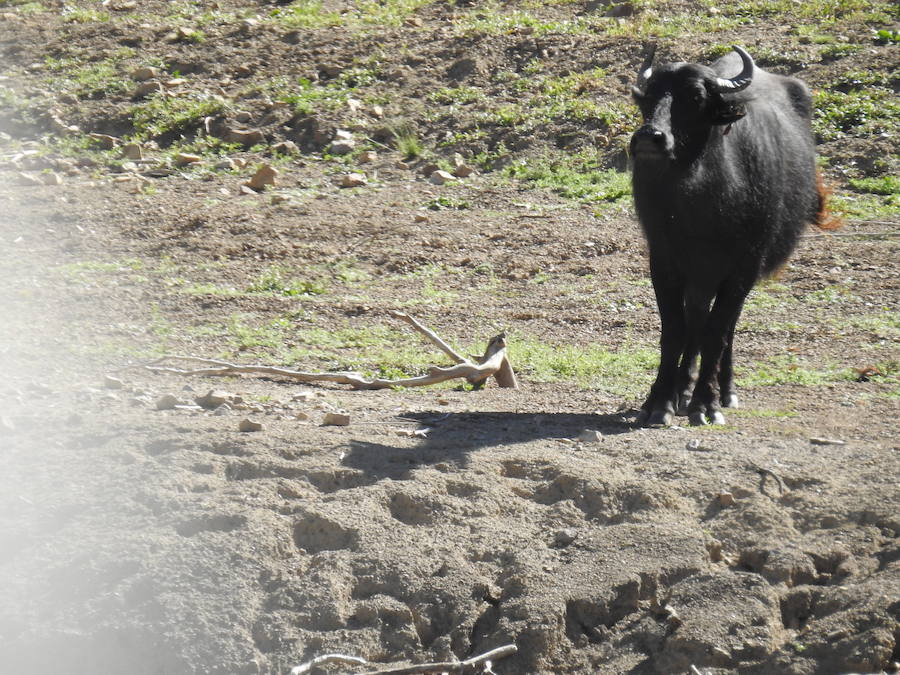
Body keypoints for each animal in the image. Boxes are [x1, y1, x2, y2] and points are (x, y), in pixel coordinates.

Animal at [624, 46, 828, 428]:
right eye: (650, 97)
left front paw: (706, 404)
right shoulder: (665, 262)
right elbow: (674, 331)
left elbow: (716, 333)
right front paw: (660, 401)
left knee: (724, 328)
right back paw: (682, 390)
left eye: (695, 97)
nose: (649, 138)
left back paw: (724, 390)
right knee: (696, 322)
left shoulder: (743, 267)